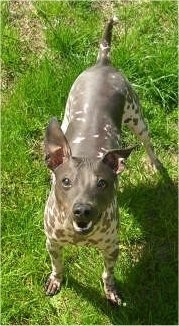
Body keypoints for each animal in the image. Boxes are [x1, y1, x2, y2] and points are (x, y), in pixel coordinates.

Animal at [43, 16, 164, 304]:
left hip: (137, 119)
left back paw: (156, 165)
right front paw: (56, 280)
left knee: (148, 144)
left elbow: (108, 273)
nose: (82, 210)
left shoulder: (111, 247)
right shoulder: (52, 243)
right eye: (65, 181)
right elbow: (57, 265)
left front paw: (111, 292)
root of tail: (103, 62)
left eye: (102, 184)